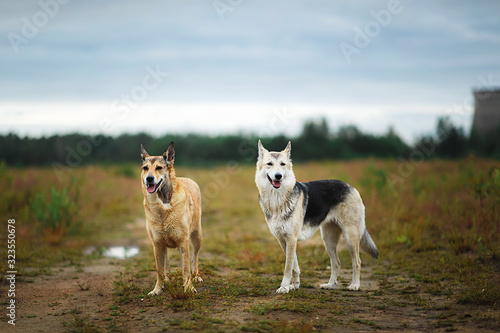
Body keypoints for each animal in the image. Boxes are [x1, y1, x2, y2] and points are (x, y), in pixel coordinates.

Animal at [140, 142, 202, 294]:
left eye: (159, 168)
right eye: (145, 168)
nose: (149, 178)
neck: (162, 204)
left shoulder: (183, 241)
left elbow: (186, 268)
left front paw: (188, 288)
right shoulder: (157, 243)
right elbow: (159, 270)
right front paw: (157, 289)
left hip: (197, 237)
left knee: (195, 257)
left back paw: (196, 277)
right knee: (167, 262)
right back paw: (167, 281)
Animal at [256, 140, 376, 294]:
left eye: (282, 164)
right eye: (269, 164)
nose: (278, 176)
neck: (277, 199)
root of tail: (350, 186)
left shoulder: (291, 239)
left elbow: (288, 267)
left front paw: (284, 287)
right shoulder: (284, 240)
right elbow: (294, 266)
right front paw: (294, 285)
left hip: (350, 237)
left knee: (357, 261)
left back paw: (355, 285)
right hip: (328, 240)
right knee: (336, 263)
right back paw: (330, 285)